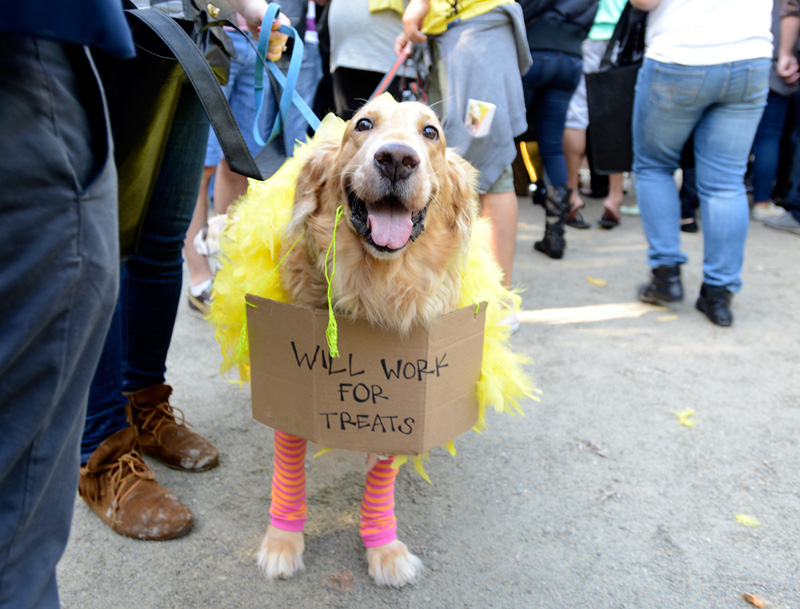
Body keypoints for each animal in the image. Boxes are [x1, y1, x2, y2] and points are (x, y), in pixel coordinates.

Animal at [258, 94, 482, 584]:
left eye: (431, 132)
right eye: (363, 124)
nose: (396, 158)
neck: (373, 285)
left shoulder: (398, 404)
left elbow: (383, 472)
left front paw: (384, 548)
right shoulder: (291, 382)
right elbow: (288, 463)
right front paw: (282, 541)